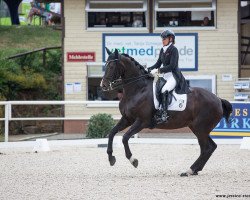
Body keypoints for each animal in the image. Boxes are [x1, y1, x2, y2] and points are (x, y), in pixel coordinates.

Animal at [100, 47, 232, 176]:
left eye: (111, 66)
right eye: (106, 65)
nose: (103, 85)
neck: (138, 89)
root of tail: (218, 99)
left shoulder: (142, 121)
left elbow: (125, 137)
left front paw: (133, 160)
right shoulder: (127, 119)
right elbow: (111, 133)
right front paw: (111, 158)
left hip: (201, 128)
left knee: (206, 148)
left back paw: (189, 170)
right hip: (198, 128)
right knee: (210, 147)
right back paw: (194, 170)